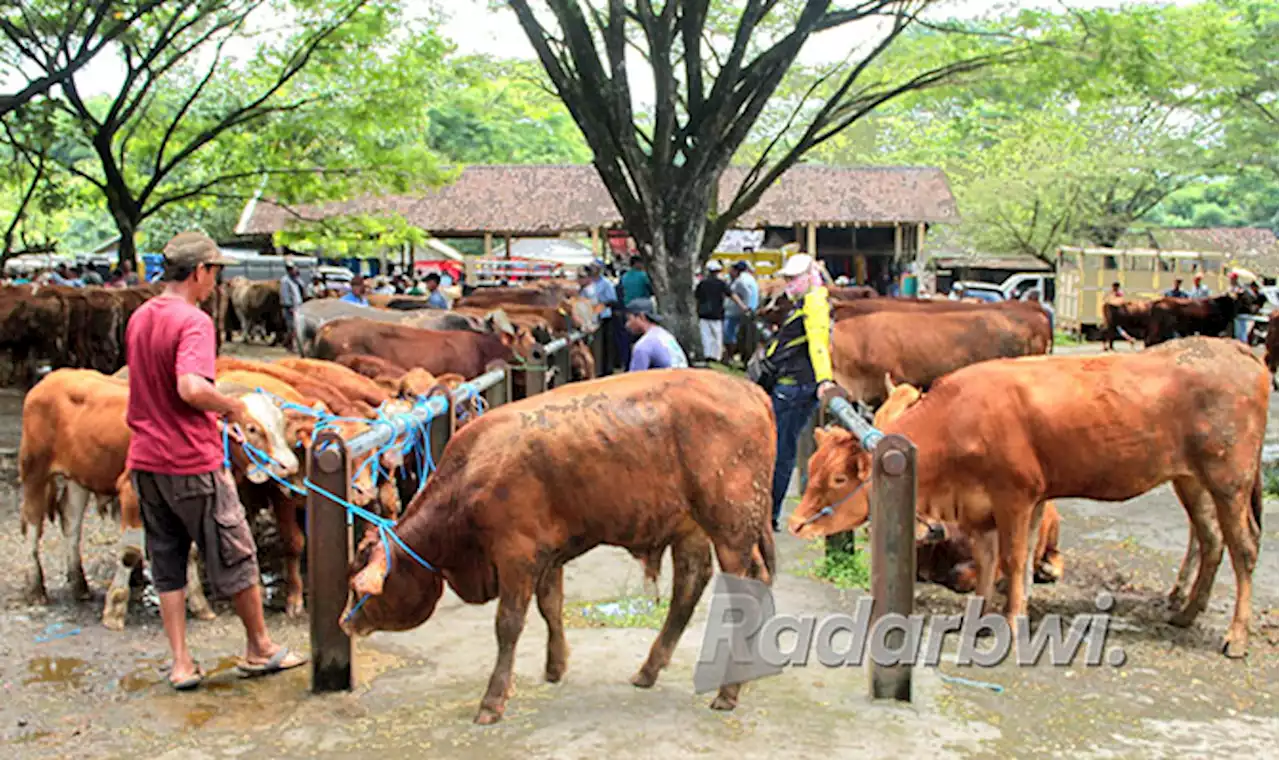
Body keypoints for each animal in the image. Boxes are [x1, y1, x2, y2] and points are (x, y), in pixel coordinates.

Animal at [340, 365, 773, 721]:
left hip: (731, 527)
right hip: (693, 527)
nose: (346, 621)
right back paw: (654, 669)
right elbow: (551, 606)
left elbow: (509, 624)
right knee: (693, 584)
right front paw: (555, 666)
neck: (475, 471)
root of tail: (752, 392)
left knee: (741, 596)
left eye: (359, 588)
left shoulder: (517, 555)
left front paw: (493, 700)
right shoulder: (548, 553)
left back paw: (729, 690)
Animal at [788, 337, 1269, 655]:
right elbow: (989, 564)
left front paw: (1013, 623)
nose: (794, 523)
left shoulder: (1015, 497)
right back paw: (1186, 612)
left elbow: (1014, 559)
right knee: (1211, 539)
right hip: (1192, 480)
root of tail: (1235, 348)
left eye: (837, 479)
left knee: (1244, 547)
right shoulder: (990, 505)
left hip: (1230, 480)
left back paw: (1236, 637)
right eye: (812, 467)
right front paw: (979, 615)